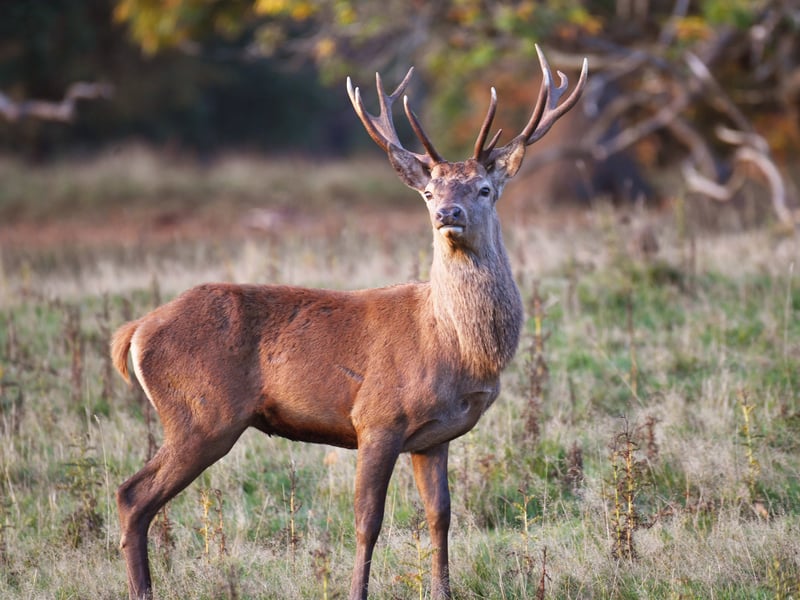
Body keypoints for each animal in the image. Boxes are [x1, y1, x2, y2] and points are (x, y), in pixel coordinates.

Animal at [111, 45, 587, 600]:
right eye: (429, 192)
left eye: (485, 188)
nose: (448, 213)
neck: (454, 345)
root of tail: (135, 332)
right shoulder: (376, 417)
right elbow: (367, 520)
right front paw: (356, 590)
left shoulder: (435, 437)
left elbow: (441, 516)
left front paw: (442, 590)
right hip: (202, 413)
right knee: (132, 494)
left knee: (133, 496)